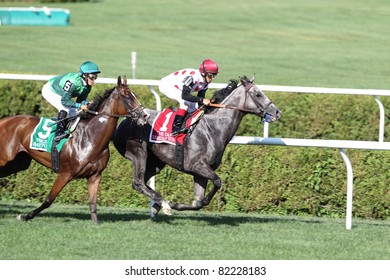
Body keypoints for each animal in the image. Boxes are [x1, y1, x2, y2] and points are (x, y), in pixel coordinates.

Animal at [0, 75, 149, 222]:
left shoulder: (95, 176)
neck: (90, 137)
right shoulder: (65, 173)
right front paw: (25, 216)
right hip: (5, 159)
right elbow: (49, 200)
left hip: (18, 163)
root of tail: (4, 120)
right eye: (126, 96)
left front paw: (95, 223)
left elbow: (93, 204)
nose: (145, 115)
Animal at [112, 76, 280, 214]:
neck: (212, 128)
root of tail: (125, 119)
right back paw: (163, 204)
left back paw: (158, 205)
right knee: (138, 182)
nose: (277, 112)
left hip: (156, 162)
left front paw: (176, 204)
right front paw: (173, 204)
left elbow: (198, 202)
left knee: (143, 182)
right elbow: (217, 182)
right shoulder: (197, 165)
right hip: (139, 153)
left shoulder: (201, 172)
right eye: (258, 94)